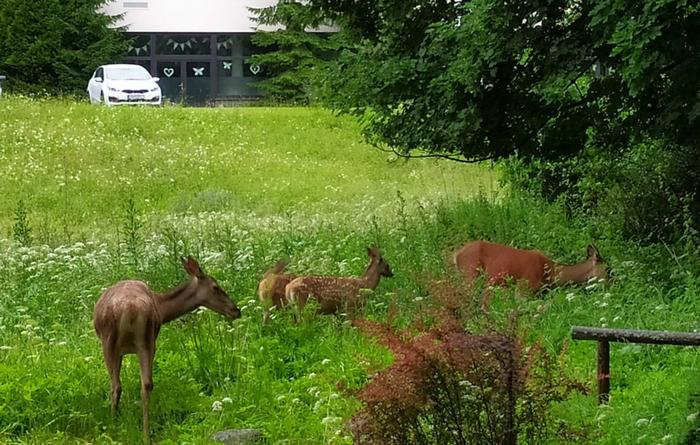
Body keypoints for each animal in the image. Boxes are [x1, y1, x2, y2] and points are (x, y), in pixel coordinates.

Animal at [93, 255, 241, 442]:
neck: (162, 307)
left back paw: (120, 429)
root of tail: (130, 308)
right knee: (142, 384)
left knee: (119, 385)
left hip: (115, 342)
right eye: (215, 287)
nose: (236, 310)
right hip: (142, 341)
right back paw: (142, 433)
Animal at [454, 238, 608, 294]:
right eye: (609, 270)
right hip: (469, 273)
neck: (550, 273)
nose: (611, 283)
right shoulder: (524, 286)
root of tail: (457, 255)